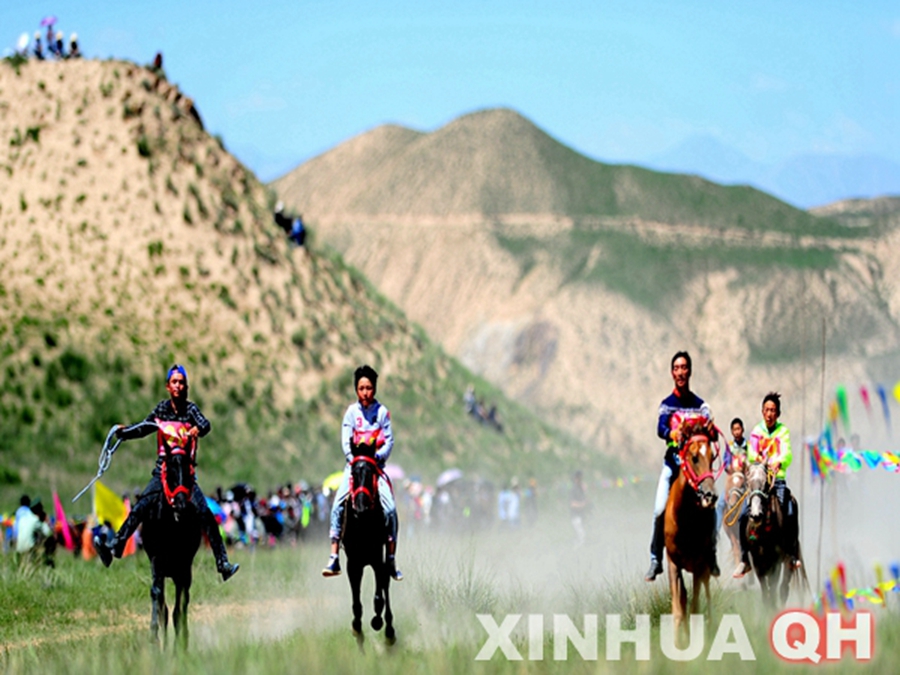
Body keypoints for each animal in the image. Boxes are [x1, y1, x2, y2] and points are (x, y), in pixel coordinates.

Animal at [140, 448, 201, 647]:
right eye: (170, 472)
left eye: (190, 470)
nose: (181, 503)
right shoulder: (157, 561)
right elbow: (158, 598)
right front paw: (154, 638)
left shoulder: (184, 567)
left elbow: (179, 608)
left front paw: (180, 645)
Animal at [341, 440, 395, 649]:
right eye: (353, 472)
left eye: (371, 472)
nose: (361, 507)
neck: (363, 522)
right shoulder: (353, 563)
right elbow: (356, 602)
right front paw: (357, 627)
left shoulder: (376, 558)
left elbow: (379, 596)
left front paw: (378, 621)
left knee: (386, 582)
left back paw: (389, 630)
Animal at [664, 421, 721, 639]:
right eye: (694, 457)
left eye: (712, 457)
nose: (711, 496)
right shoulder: (673, 563)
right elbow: (678, 608)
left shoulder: (699, 564)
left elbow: (696, 607)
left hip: (706, 567)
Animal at [743, 462, 805, 607]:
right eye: (748, 482)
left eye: (766, 483)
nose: (756, 515)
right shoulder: (757, 561)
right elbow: (765, 592)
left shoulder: (776, 561)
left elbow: (773, 589)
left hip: (788, 559)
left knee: (784, 589)